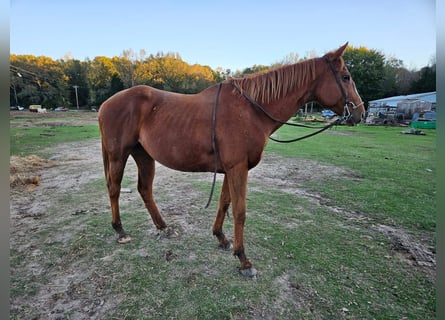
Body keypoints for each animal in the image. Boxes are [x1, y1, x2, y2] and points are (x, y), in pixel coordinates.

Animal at [98, 43, 364, 276]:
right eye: (346, 77)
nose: (360, 113)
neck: (251, 111)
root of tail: (105, 104)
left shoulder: (230, 169)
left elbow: (224, 203)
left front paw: (221, 238)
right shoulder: (238, 168)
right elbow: (239, 211)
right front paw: (244, 260)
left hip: (144, 156)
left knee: (144, 189)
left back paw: (163, 227)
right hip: (118, 155)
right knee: (114, 188)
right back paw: (120, 231)